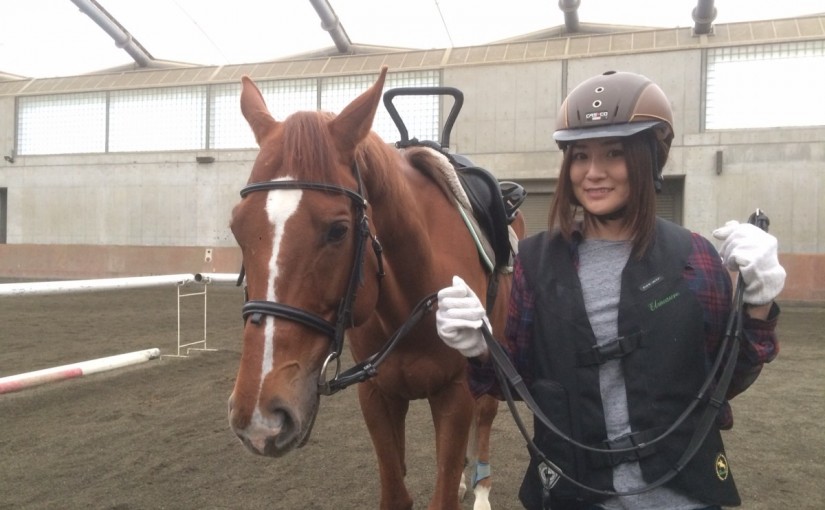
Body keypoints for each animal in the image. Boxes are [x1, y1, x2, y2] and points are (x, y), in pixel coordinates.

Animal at [227, 65, 524, 510]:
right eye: (236, 228)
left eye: (338, 230)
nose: (261, 415)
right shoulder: (377, 397)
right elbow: (396, 491)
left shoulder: (454, 394)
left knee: (486, 415)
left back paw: (482, 490)